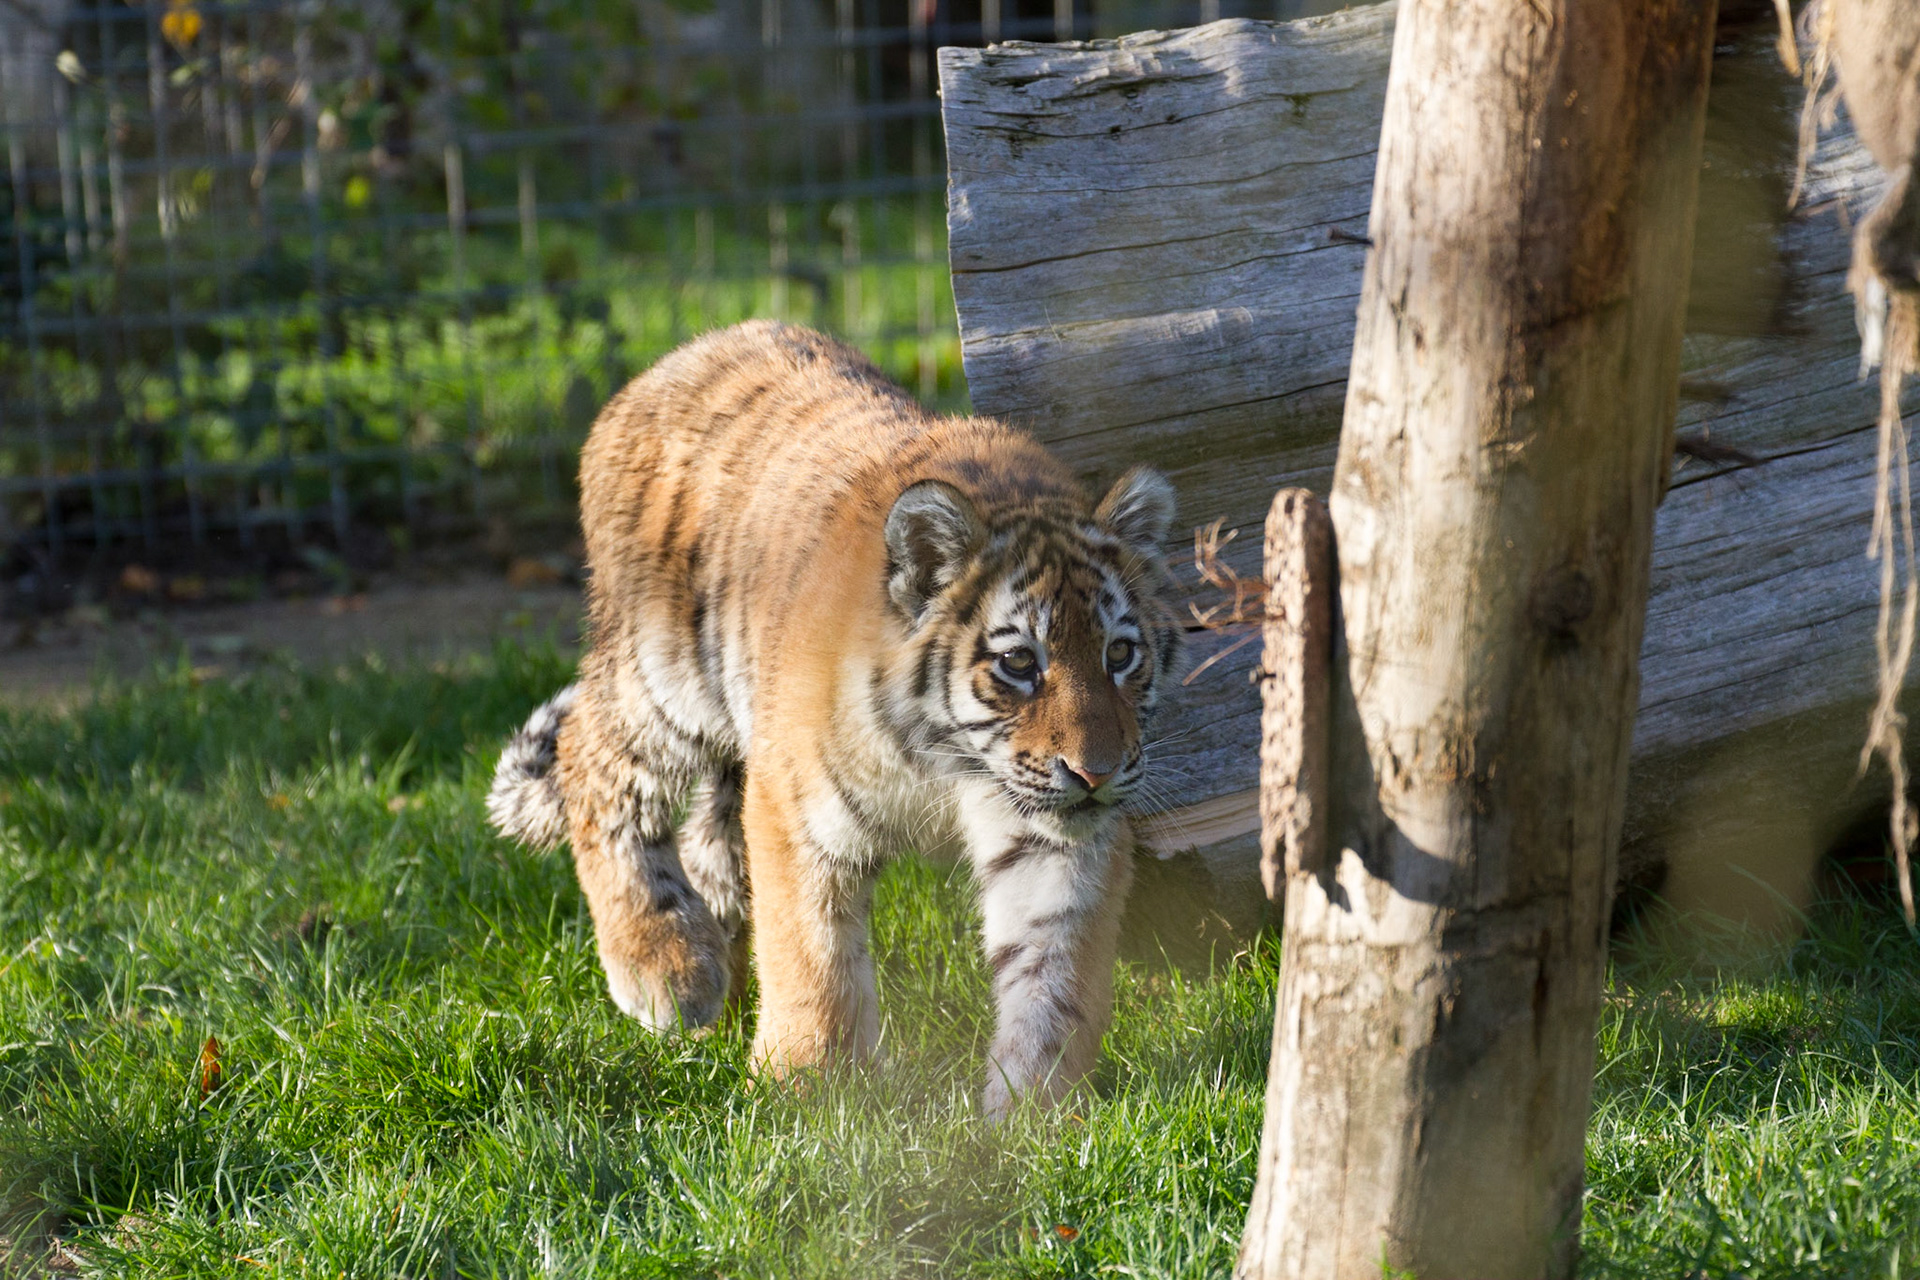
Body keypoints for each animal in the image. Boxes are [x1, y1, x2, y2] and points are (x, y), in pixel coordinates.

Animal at [487, 321, 1183, 1117]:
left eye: (1120, 654)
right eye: (1018, 663)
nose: (1096, 773)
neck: (948, 761)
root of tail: (672, 359)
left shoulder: (1052, 837)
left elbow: (1056, 970)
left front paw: (1035, 1110)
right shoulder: (797, 806)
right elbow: (810, 953)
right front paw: (805, 1087)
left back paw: (721, 994)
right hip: (664, 681)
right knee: (593, 765)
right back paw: (670, 968)